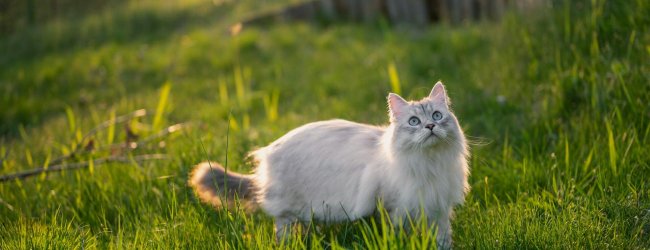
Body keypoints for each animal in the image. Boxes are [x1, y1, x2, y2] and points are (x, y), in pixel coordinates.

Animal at [190, 82, 468, 248]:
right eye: (413, 121)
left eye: (437, 116)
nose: (430, 126)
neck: (429, 163)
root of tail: (269, 151)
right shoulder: (395, 208)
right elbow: (398, 236)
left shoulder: (438, 208)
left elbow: (443, 238)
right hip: (288, 210)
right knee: (282, 228)